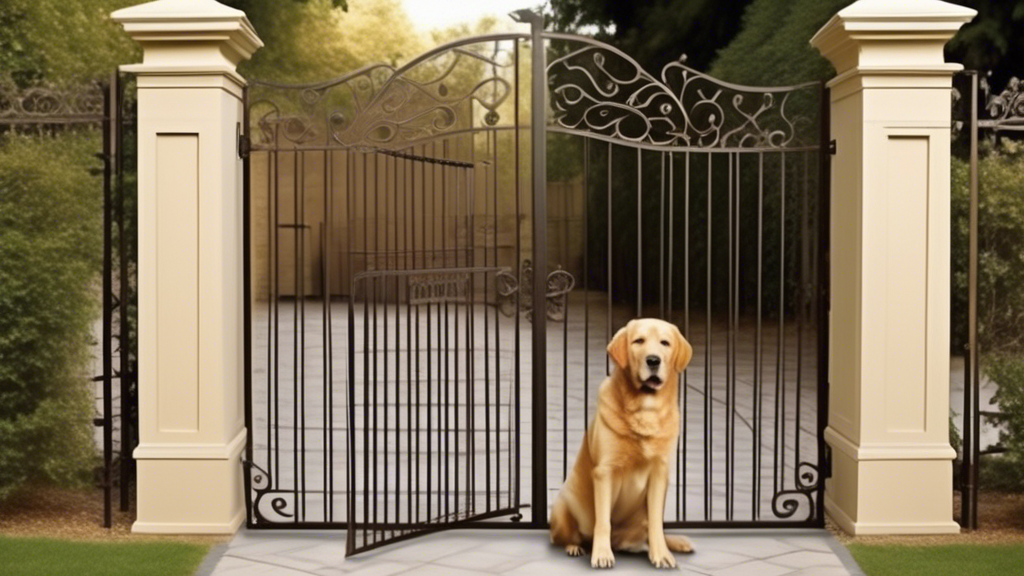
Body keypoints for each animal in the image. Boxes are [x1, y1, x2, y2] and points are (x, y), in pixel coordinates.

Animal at [552, 315, 696, 565]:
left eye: (665, 343)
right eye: (638, 341)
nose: (653, 360)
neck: (645, 409)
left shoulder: (660, 472)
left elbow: (656, 524)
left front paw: (662, 555)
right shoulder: (604, 472)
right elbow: (603, 521)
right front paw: (602, 555)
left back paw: (676, 542)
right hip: (561, 508)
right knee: (568, 536)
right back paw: (575, 547)